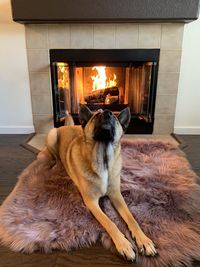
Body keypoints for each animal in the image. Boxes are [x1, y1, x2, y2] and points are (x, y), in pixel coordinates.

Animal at [46, 105, 157, 260]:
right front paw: (123, 244)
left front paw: (144, 240)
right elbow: (110, 223)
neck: (104, 160)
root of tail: (66, 126)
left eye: (115, 118)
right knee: (54, 156)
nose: (108, 113)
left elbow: (131, 219)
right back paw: (56, 165)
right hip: (52, 135)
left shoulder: (117, 195)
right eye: (96, 115)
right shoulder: (91, 202)